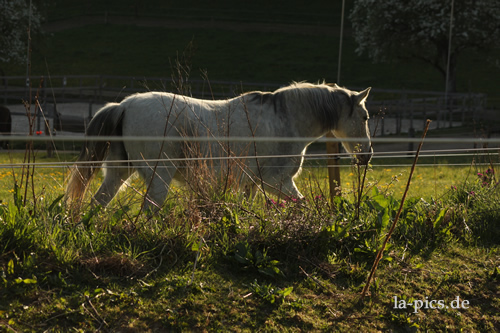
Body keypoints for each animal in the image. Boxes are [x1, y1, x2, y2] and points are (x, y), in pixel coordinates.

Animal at [66, 81, 372, 209]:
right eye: (365, 117)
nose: (367, 156)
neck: (286, 120)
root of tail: (124, 106)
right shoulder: (278, 182)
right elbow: (302, 204)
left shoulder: (253, 183)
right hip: (159, 176)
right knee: (150, 209)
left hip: (118, 173)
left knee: (97, 203)